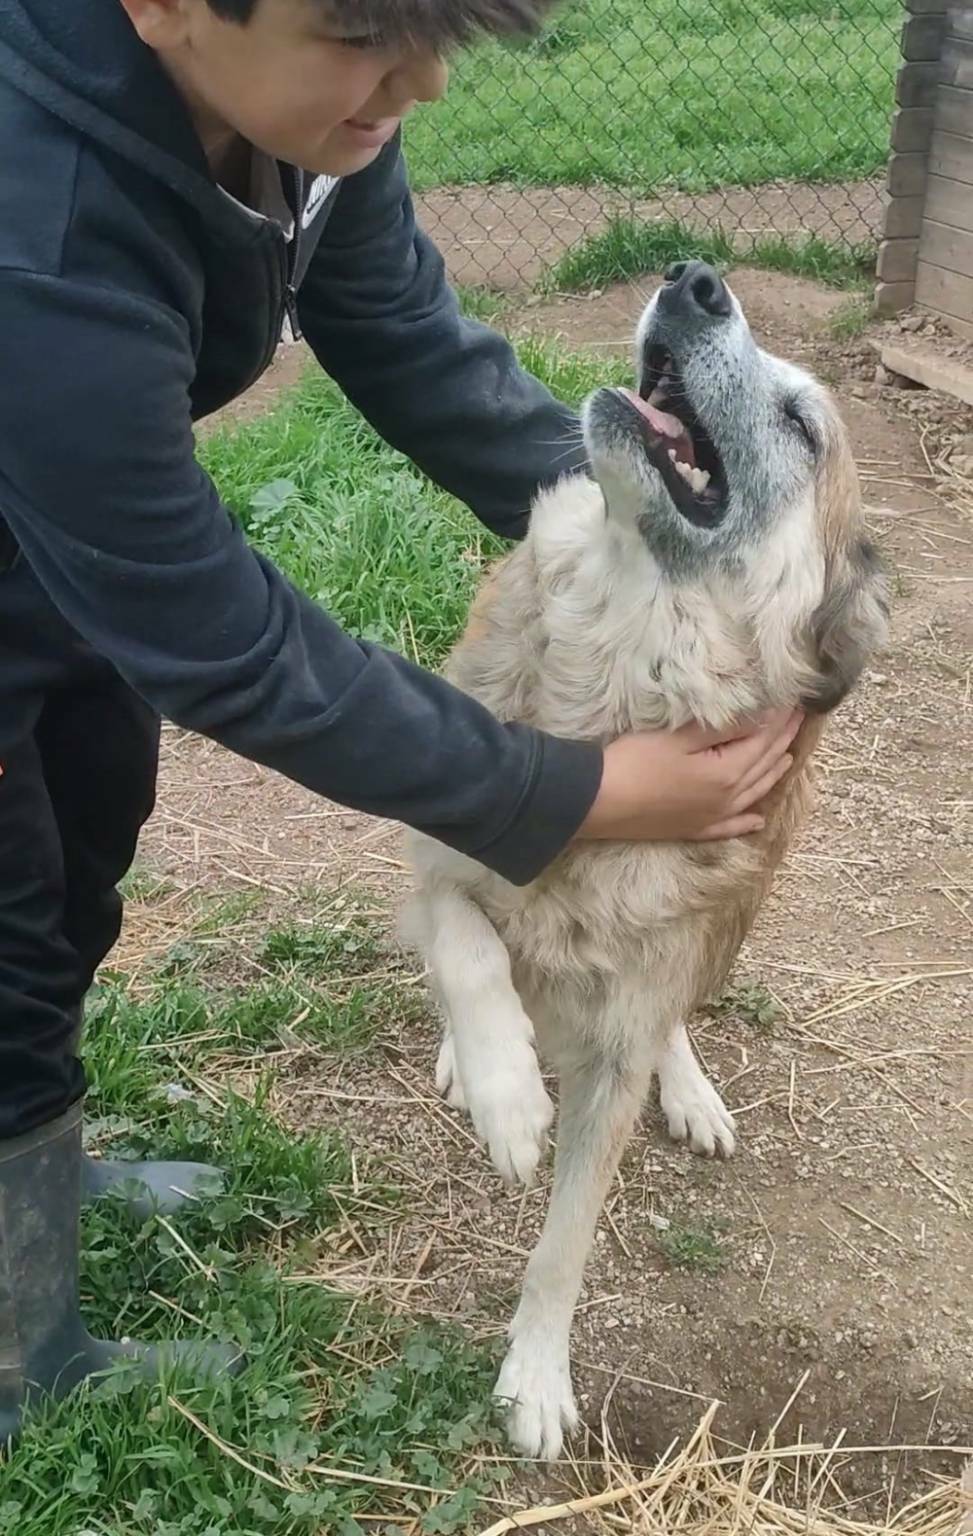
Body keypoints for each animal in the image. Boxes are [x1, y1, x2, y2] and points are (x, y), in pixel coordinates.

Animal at [399, 267, 885, 1462]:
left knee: (672, 1009)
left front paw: (534, 1379)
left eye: (802, 425)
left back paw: (690, 1088)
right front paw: (505, 1094)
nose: (693, 279)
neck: (621, 664)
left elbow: (564, 1244)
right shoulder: (438, 845)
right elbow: (467, 943)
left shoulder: (620, 1046)